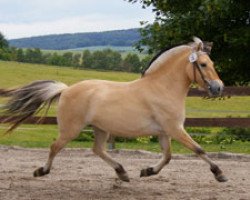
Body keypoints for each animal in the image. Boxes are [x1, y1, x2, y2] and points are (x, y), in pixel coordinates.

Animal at [0, 37, 228, 183]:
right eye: (202, 64)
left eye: (211, 62)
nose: (218, 87)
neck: (162, 88)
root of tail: (65, 90)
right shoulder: (175, 129)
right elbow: (198, 149)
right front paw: (219, 174)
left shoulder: (165, 132)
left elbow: (168, 156)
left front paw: (147, 171)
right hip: (71, 129)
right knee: (55, 146)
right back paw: (42, 171)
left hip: (101, 129)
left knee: (97, 150)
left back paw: (122, 173)